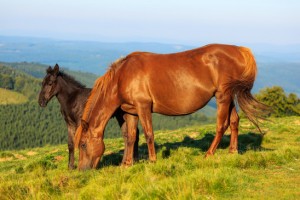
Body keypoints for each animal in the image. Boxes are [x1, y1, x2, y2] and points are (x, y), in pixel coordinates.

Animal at [75, 44, 268, 170]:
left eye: (83, 144)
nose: (82, 171)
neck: (122, 76)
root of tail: (239, 50)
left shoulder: (143, 107)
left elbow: (148, 134)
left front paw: (152, 161)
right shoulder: (131, 112)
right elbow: (130, 137)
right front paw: (128, 164)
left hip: (223, 97)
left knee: (222, 125)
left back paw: (209, 154)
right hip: (229, 97)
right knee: (234, 121)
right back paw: (232, 151)